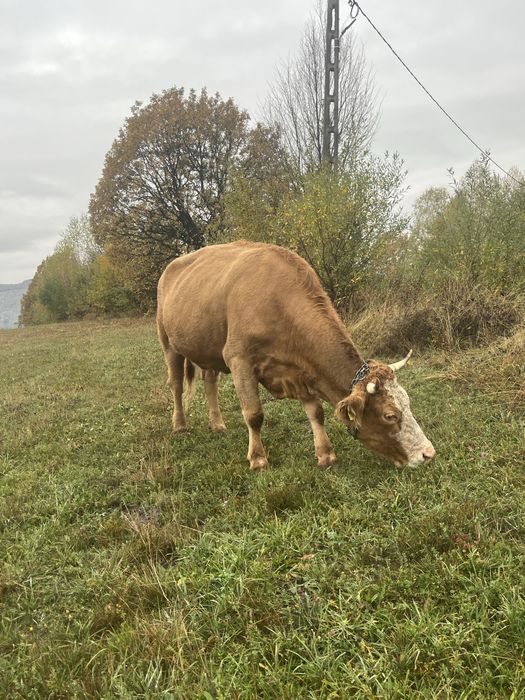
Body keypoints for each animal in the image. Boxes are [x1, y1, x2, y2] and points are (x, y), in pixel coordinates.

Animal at [157, 241, 435, 470]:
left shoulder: (302, 370)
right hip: (168, 341)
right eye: (390, 415)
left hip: (208, 349)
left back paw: (217, 424)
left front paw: (326, 454)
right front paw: (258, 458)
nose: (428, 454)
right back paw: (179, 424)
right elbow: (253, 414)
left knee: (209, 381)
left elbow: (316, 412)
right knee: (176, 383)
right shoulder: (239, 359)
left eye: (408, 403)